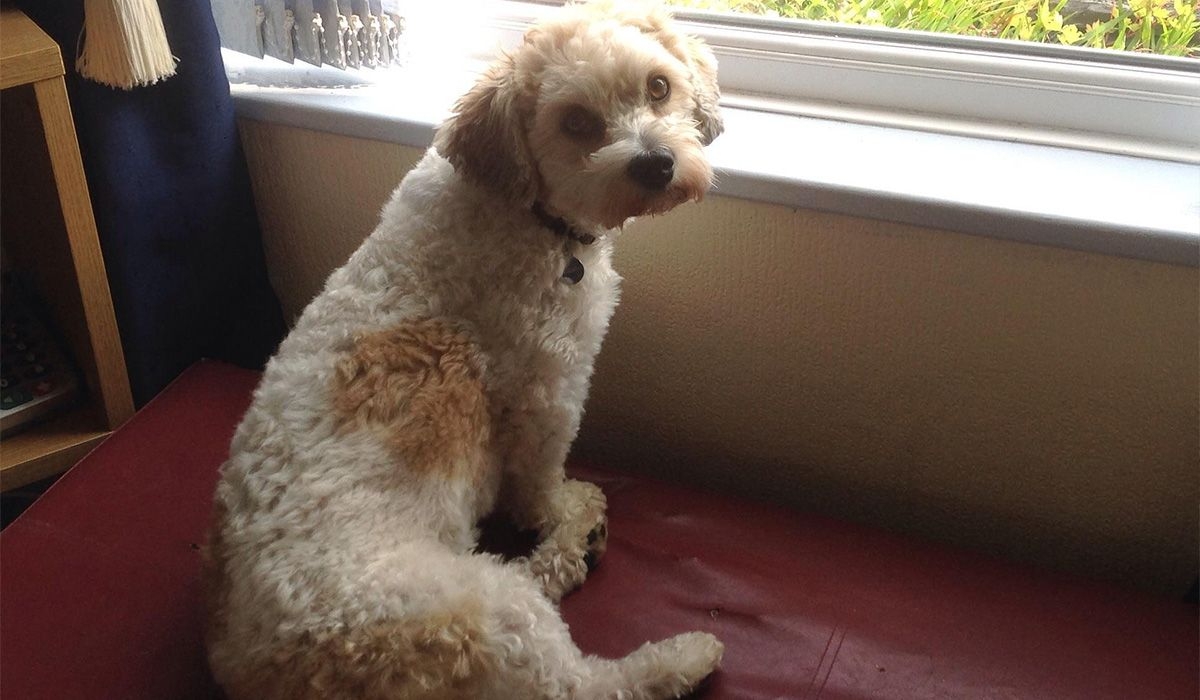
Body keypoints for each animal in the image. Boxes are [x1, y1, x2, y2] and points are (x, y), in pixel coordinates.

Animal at [204, 2, 720, 696]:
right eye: (576, 122)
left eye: (659, 87)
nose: (656, 163)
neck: (525, 213)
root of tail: (264, 668)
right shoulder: (548, 390)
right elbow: (537, 484)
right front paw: (560, 506)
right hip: (484, 611)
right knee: (582, 683)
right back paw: (673, 645)